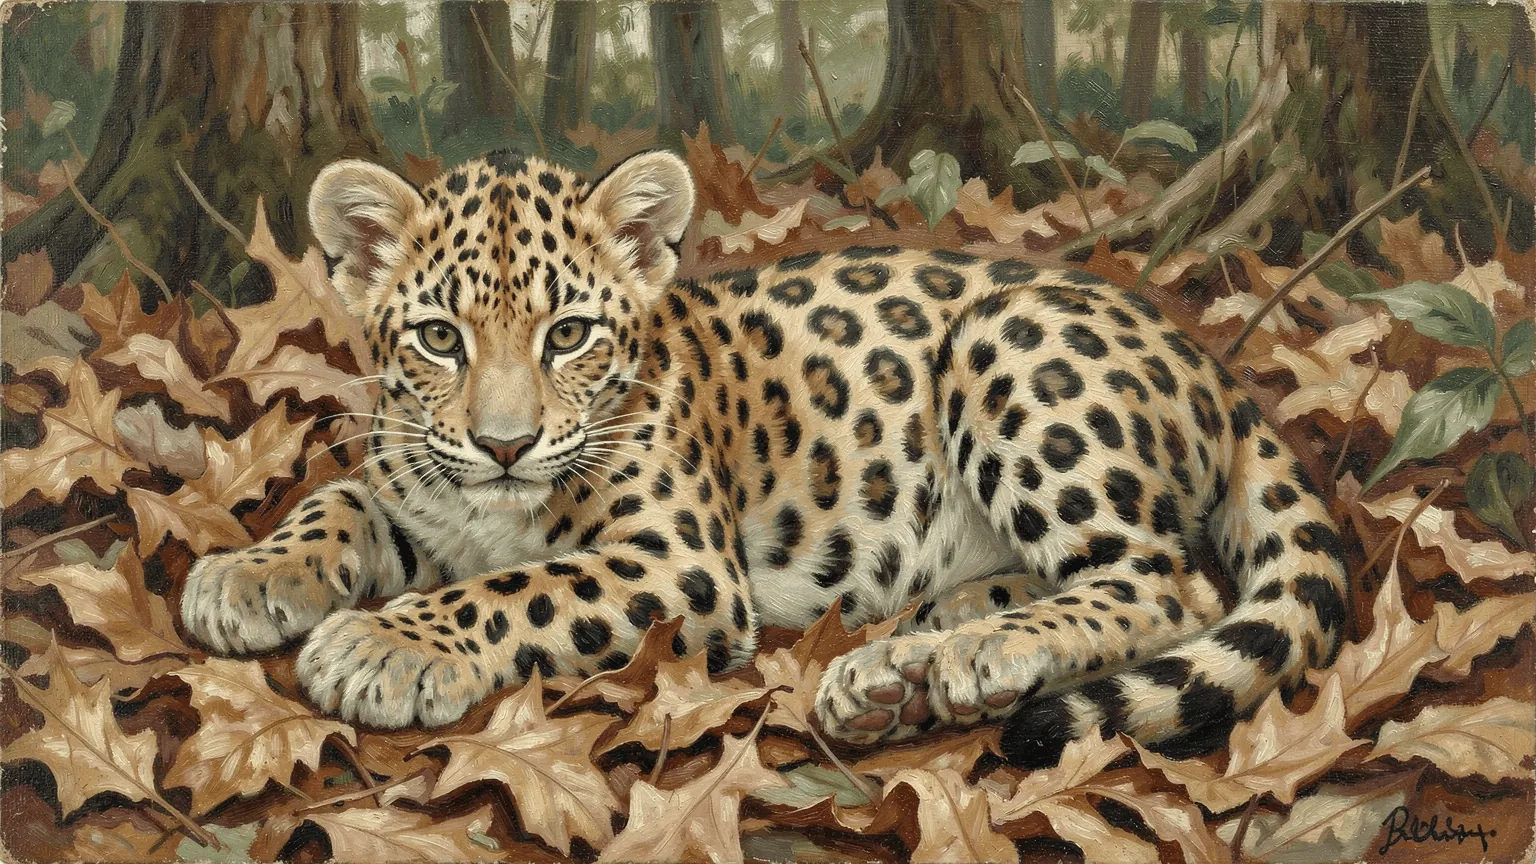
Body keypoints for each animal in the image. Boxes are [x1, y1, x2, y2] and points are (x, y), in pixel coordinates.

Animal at [180, 148, 1350, 767]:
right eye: (437, 339)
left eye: (569, 334)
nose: (505, 444)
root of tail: (1211, 364)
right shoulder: (421, 490)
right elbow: (338, 502)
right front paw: (244, 576)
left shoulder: (677, 564)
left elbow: (516, 590)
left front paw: (380, 646)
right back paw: (895, 672)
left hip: (1003, 346)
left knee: (1169, 580)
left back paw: (970, 657)